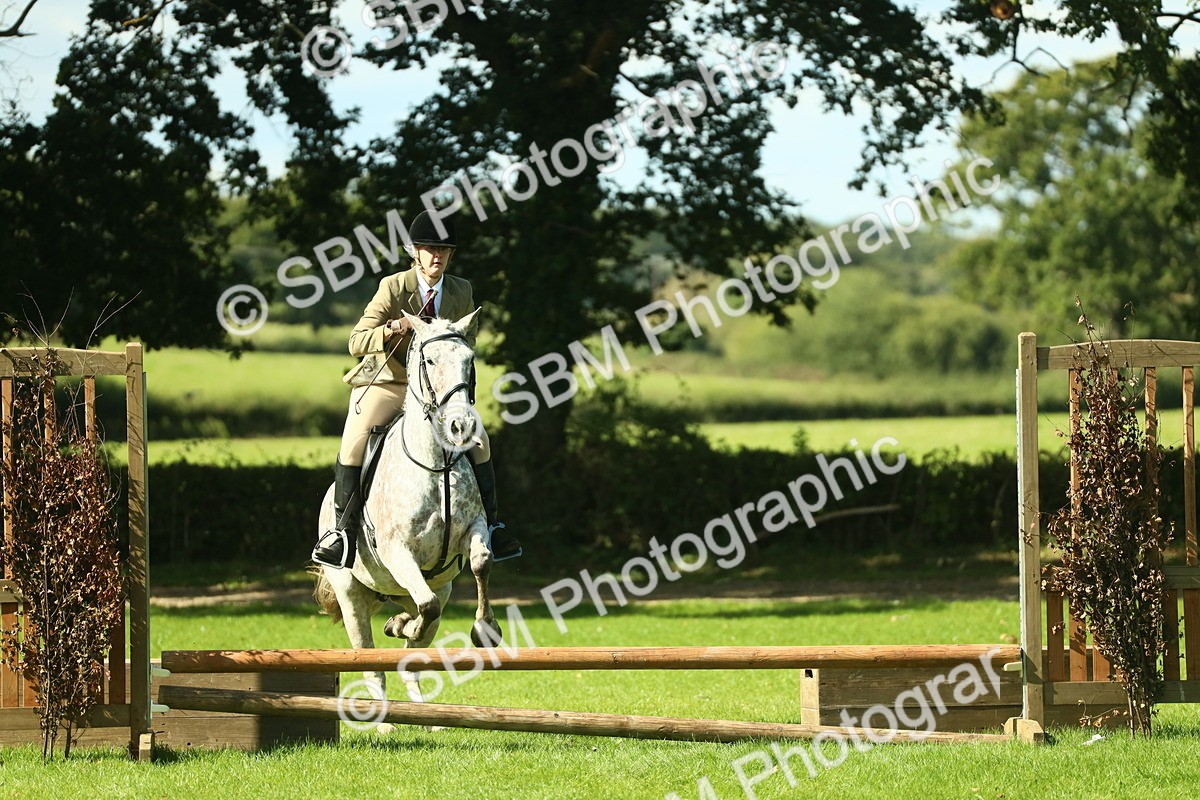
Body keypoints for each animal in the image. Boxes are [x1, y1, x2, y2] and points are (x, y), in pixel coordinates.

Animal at [312, 309, 500, 707]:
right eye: (429, 361)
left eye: (469, 361)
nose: (461, 427)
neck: (437, 463)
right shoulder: (398, 551)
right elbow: (426, 606)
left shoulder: (474, 527)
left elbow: (481, 562)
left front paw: (485, 629)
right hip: (351, 595)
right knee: (373, 662)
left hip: (426, 588)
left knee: (414, 650)